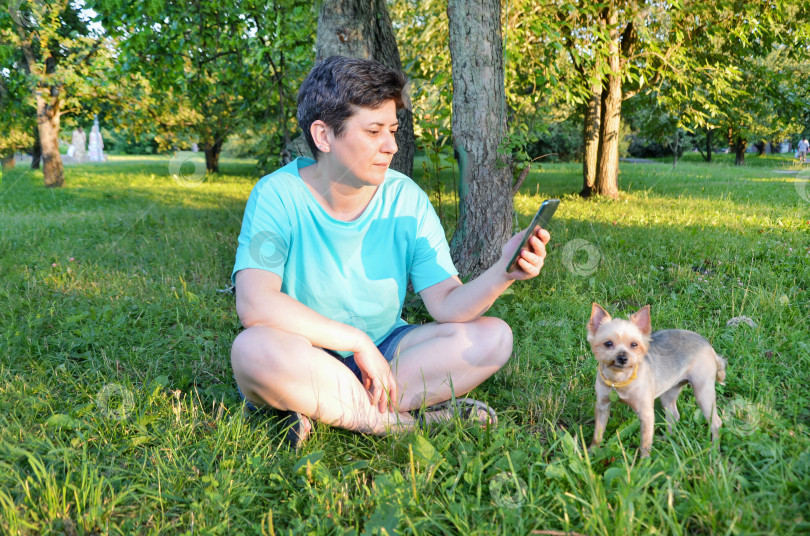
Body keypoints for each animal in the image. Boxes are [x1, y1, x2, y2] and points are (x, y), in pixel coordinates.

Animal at [584, 304, 724, 458]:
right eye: (608, 343)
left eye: (634, 344)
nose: (622, 357)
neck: (619, 380)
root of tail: (710, 347)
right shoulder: (602, 407)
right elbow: (598, 434)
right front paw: (591, 452)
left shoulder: (646, 414)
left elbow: (645, 443)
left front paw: (643, 461)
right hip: (668, 394)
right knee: (674, 416)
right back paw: (666, 439)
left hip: (702, 393)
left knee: (716, 423)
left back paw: (714, 451)